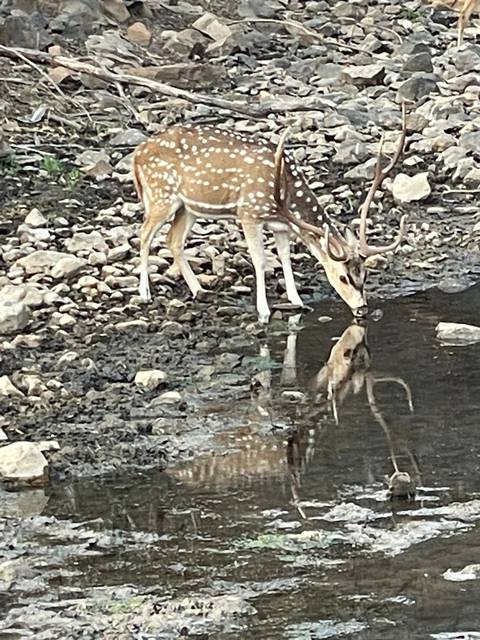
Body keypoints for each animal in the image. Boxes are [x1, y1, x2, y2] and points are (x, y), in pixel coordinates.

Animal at [132, 105, 407, 324]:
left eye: (365, 274)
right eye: (343, 277)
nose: (362, 309)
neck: (284, 195)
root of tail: (136, 154)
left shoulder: (279, 224)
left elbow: (285, 256)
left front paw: (296, 300)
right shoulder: (249, 212)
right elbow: (260, 259)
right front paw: (263, 310)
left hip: (187, 206)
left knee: (173, 240)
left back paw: (199, 290)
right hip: (161, 195)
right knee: (144, 234)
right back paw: (144, 293)